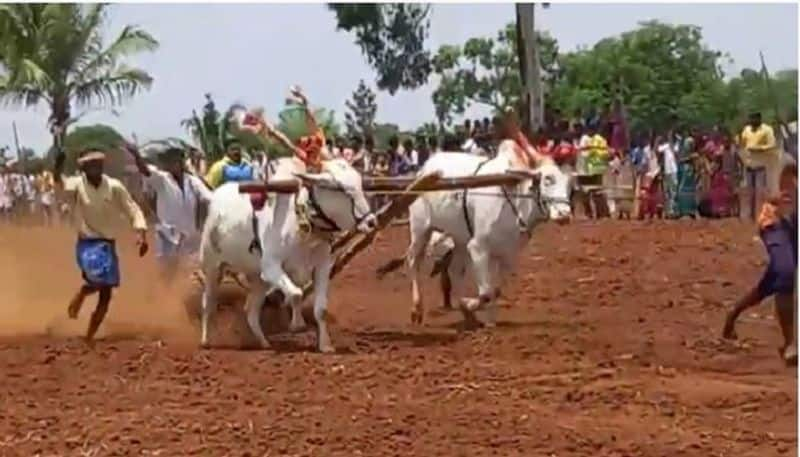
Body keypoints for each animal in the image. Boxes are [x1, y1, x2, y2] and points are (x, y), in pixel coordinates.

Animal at [198, 158, 376, 352]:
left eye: (360, 184)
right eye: (341, 189)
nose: (371, 222)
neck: (303, 225)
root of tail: (214, 195)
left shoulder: (322, 267)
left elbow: (321, 309)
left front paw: (325, 345)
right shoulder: (271, 267)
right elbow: (296, 294)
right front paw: (297, 325)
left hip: (259, 278)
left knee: (251, 311)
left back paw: (264, 343)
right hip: (212, 266)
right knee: (208, 303)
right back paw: (206, 341)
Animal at [406, 141, 568, 326]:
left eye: (568, 183)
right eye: (548, 179)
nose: (565, 214)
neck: (515, 200)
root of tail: (425, 168)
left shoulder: (507, 255)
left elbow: (495, 290)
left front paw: (488, 321)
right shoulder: (478, 248)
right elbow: (485, 293)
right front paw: (471, 305)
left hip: (459, 239)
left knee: (455, 271)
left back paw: (467, 314)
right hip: (420, 229)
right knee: (413, 261)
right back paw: (417, 309)